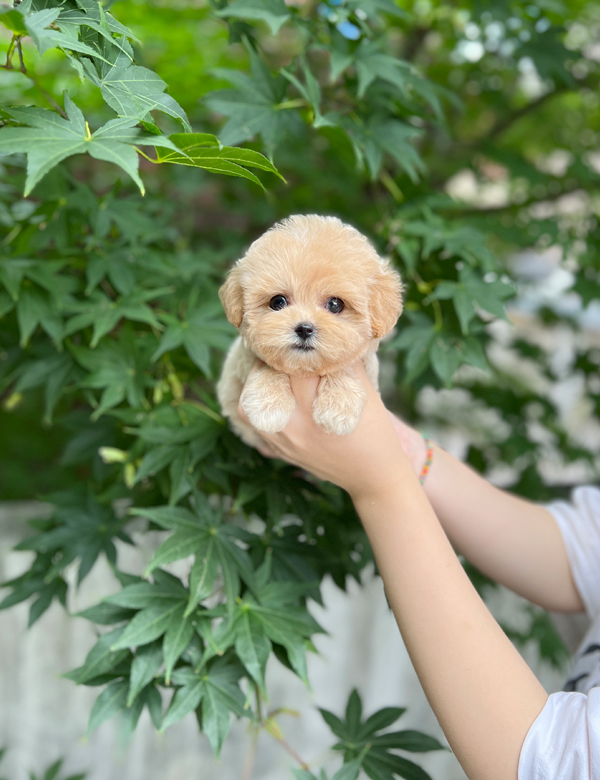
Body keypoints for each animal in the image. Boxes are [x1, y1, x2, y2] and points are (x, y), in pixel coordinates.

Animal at [216, 215, 404, 450]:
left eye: (335, 304)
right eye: (277, 302)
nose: (304, 329)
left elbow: (343, 366)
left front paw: (338, 405)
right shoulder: (238, 366)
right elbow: (270, 367)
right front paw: (269, 405)